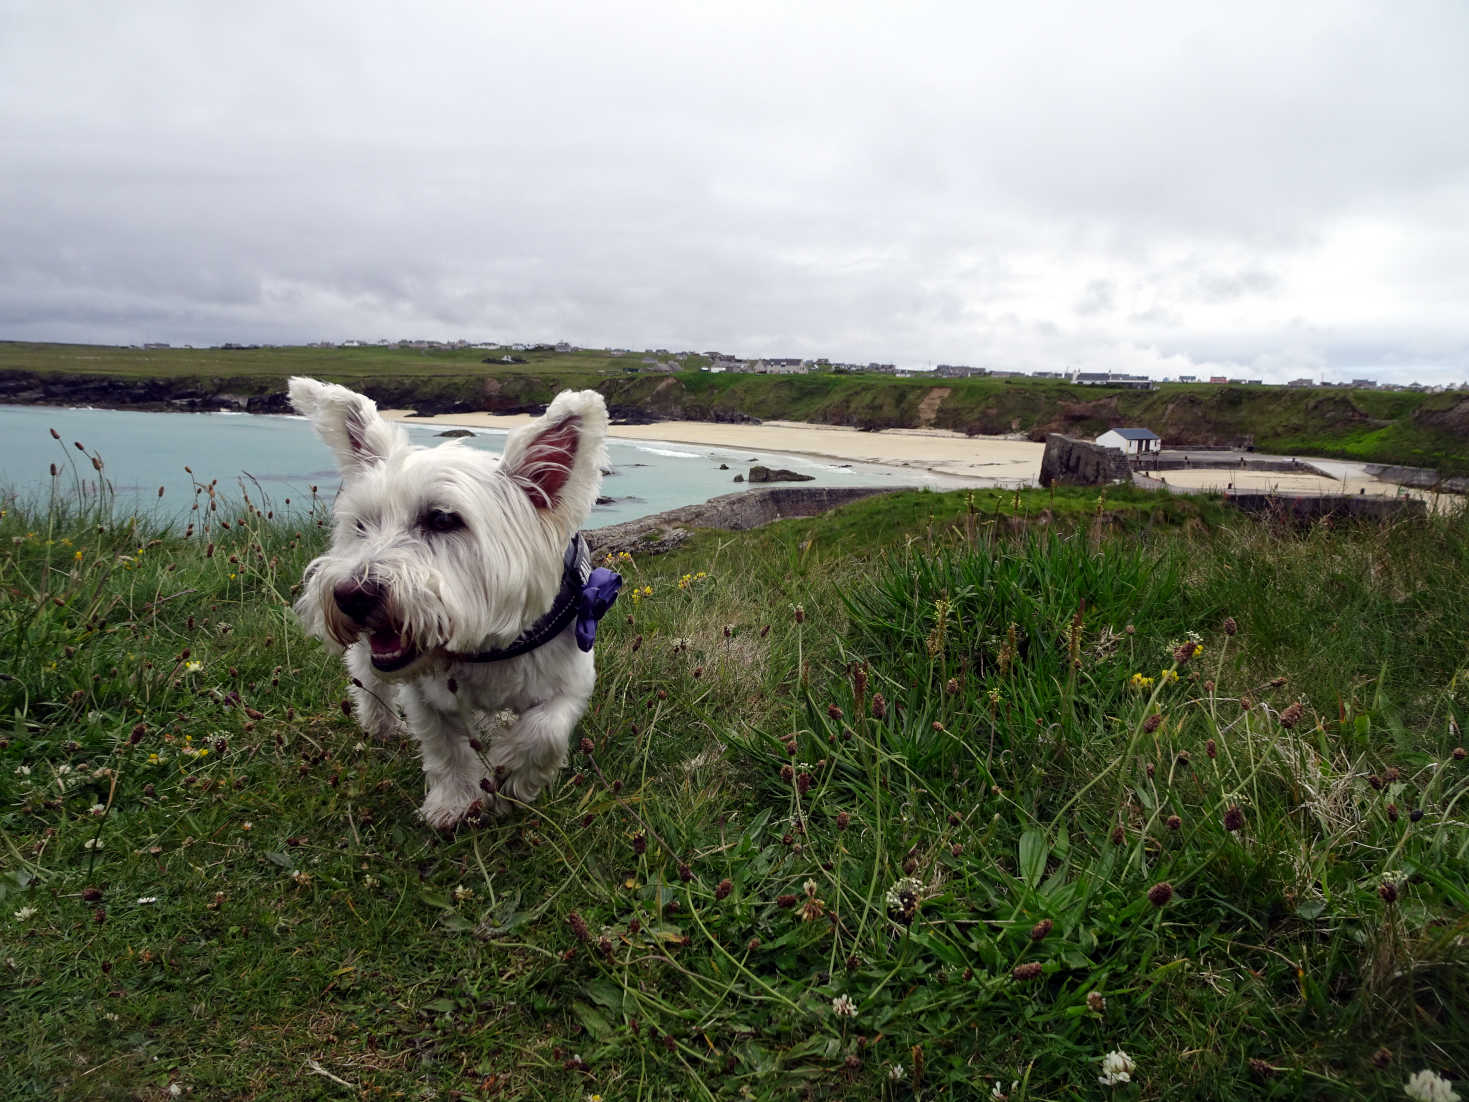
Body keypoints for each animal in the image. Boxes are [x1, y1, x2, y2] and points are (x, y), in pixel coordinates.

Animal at [286, 379, 619, 828]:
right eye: (361, 524)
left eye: (443, 519)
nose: (351, 594)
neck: (483, 648)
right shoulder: (425, 697)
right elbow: (445, 747)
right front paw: (454, 802)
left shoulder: (572, 678)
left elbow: (544, 730)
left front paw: (512, 772)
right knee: (368, 677)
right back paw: (381, 725)